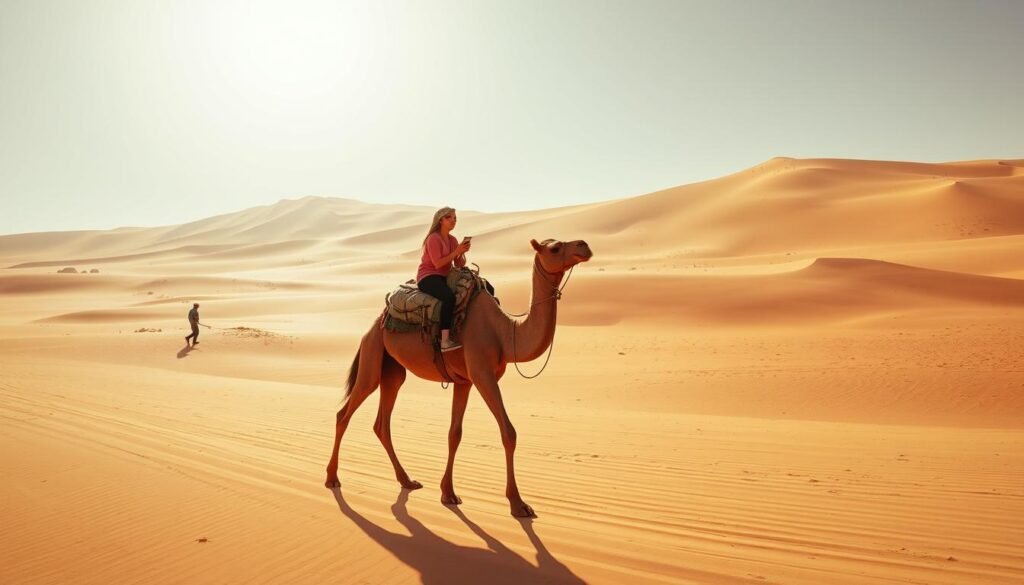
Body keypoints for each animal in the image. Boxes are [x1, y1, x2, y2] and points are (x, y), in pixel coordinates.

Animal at [325, 238, 593, 517]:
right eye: (555, 248)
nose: (583, 246)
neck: (504, 334)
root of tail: (375, 322)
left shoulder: (465, 381)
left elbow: (455, 433)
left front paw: (448, 493)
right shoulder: (483, 375)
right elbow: (508, 433)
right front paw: (518, 504)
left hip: (392, 370)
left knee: (382, 423)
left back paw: (407, 480)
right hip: (372, 354)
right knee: (344, 413)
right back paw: (332, 478)